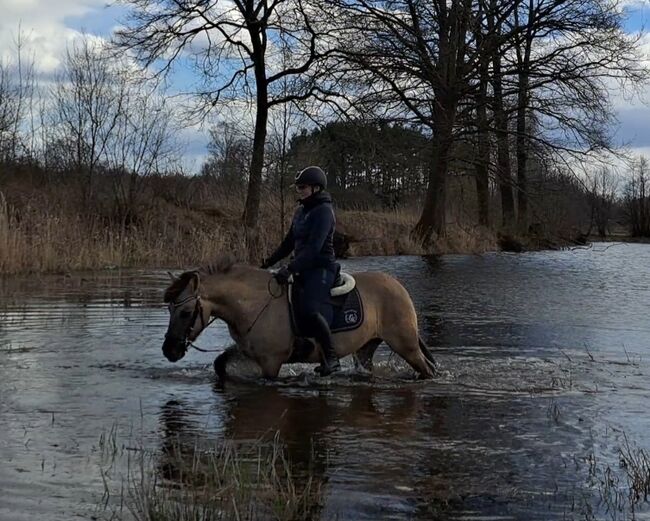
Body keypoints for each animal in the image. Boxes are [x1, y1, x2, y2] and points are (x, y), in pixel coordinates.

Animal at [161, 256, 436, 382]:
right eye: (170, 310)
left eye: (185, 312)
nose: (169, 351)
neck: (253, 304)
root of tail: (398, 287)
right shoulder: (248, 352)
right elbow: (220, 364)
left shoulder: (271, 361)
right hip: (366, 347)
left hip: (405, 345)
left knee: (426, 369)